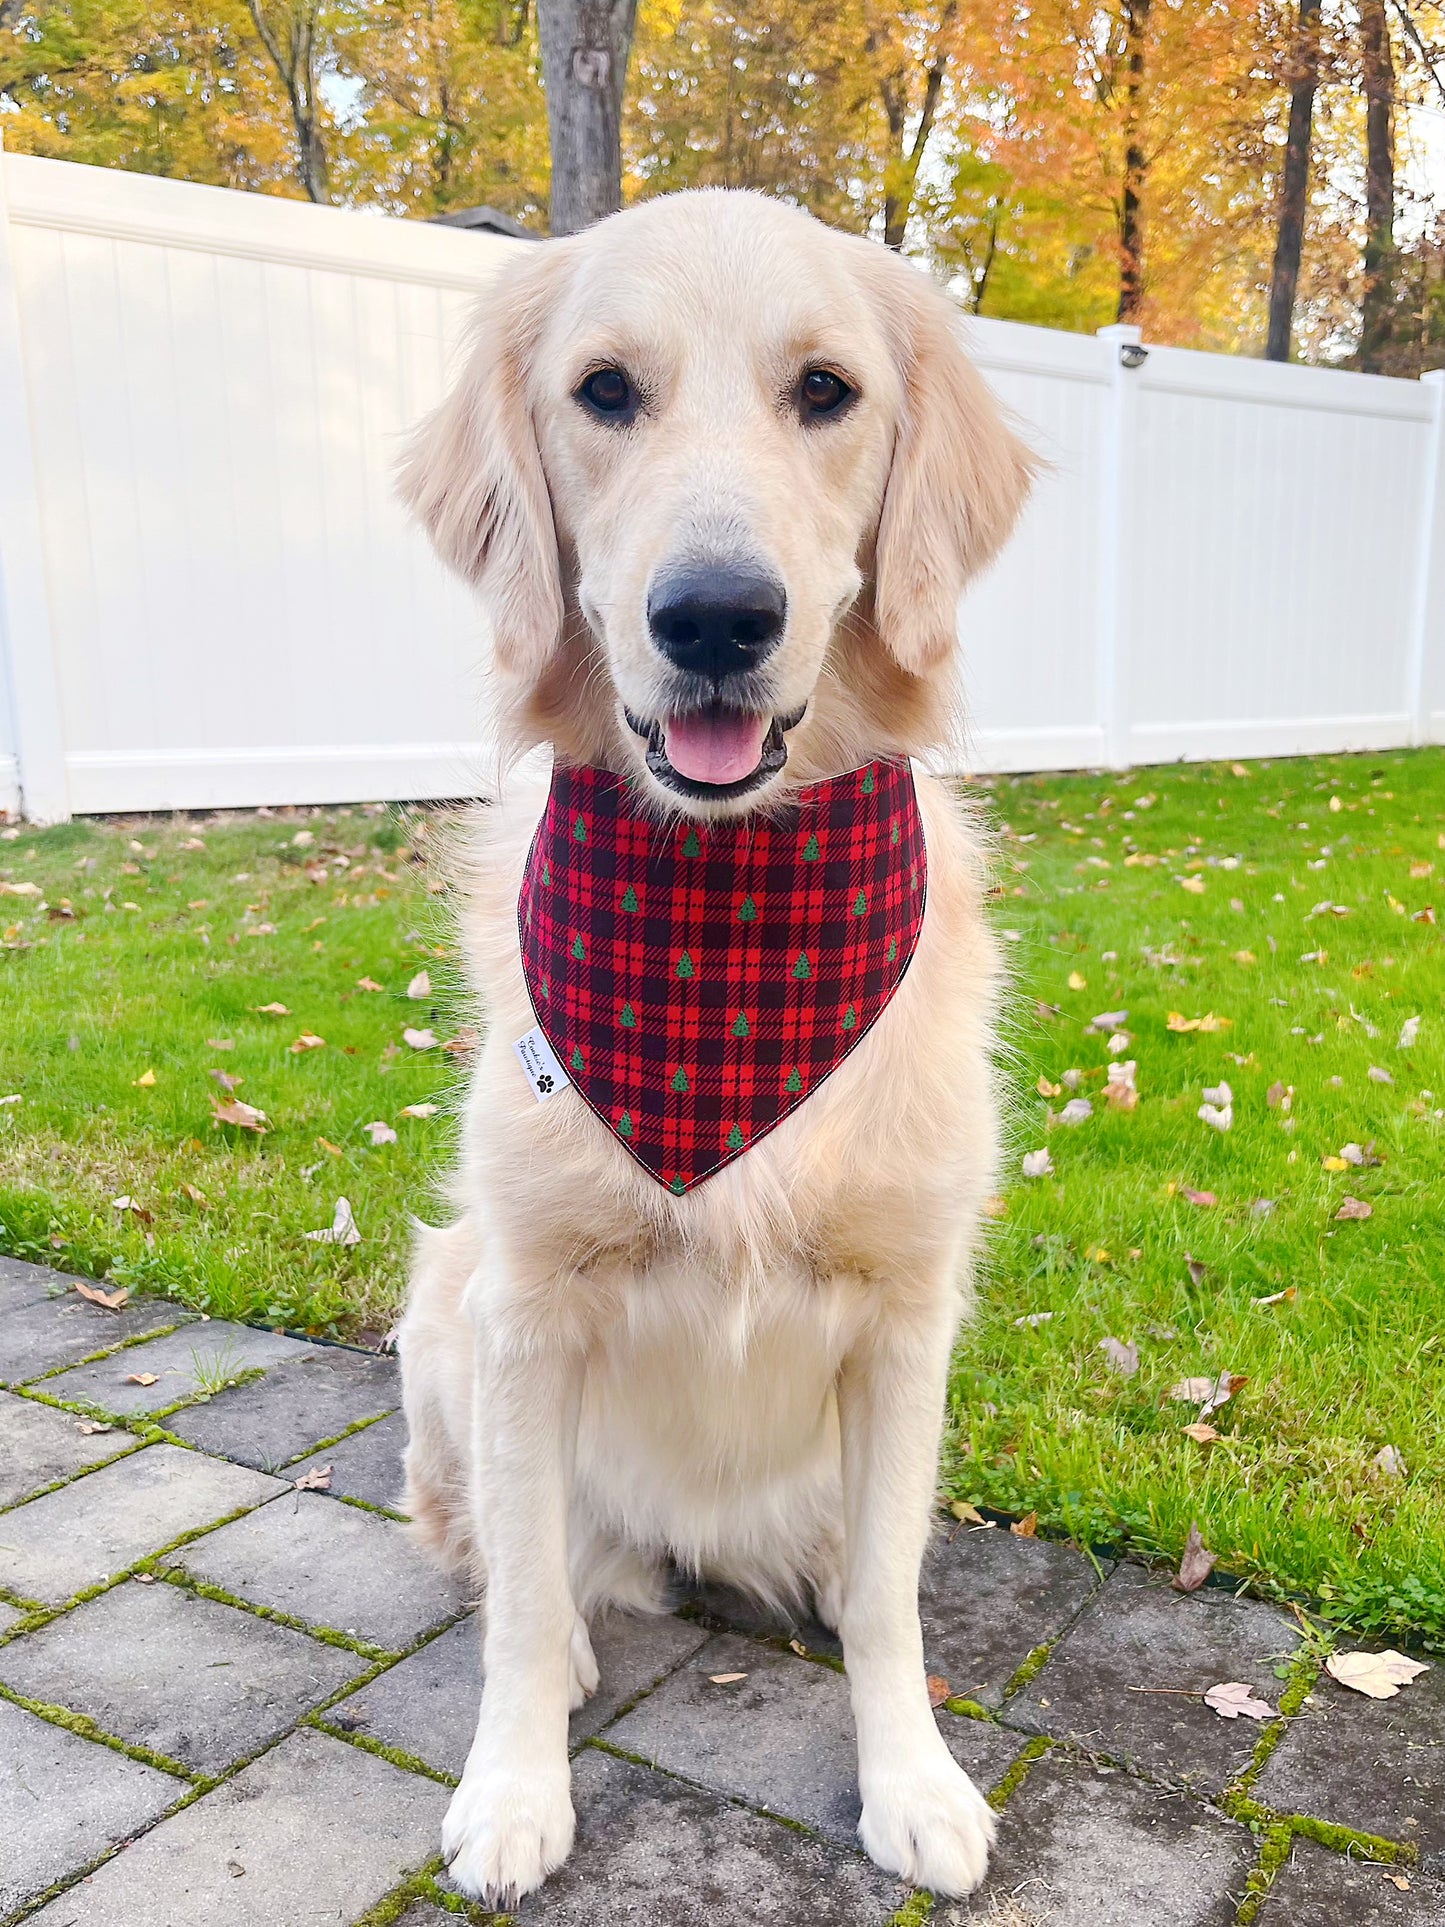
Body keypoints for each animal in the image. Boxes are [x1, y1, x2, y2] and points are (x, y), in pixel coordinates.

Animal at [391, 187, 1032, 1903]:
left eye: (826, 390)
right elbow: (519, 1584)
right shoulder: (525, 1301)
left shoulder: (909, 1311)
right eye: (605, 390)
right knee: (512, 1556)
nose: (717, 618)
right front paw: (512, 1783)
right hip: (440, 1306)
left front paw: (912, 1776)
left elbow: (889, 1590)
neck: (728, 922)